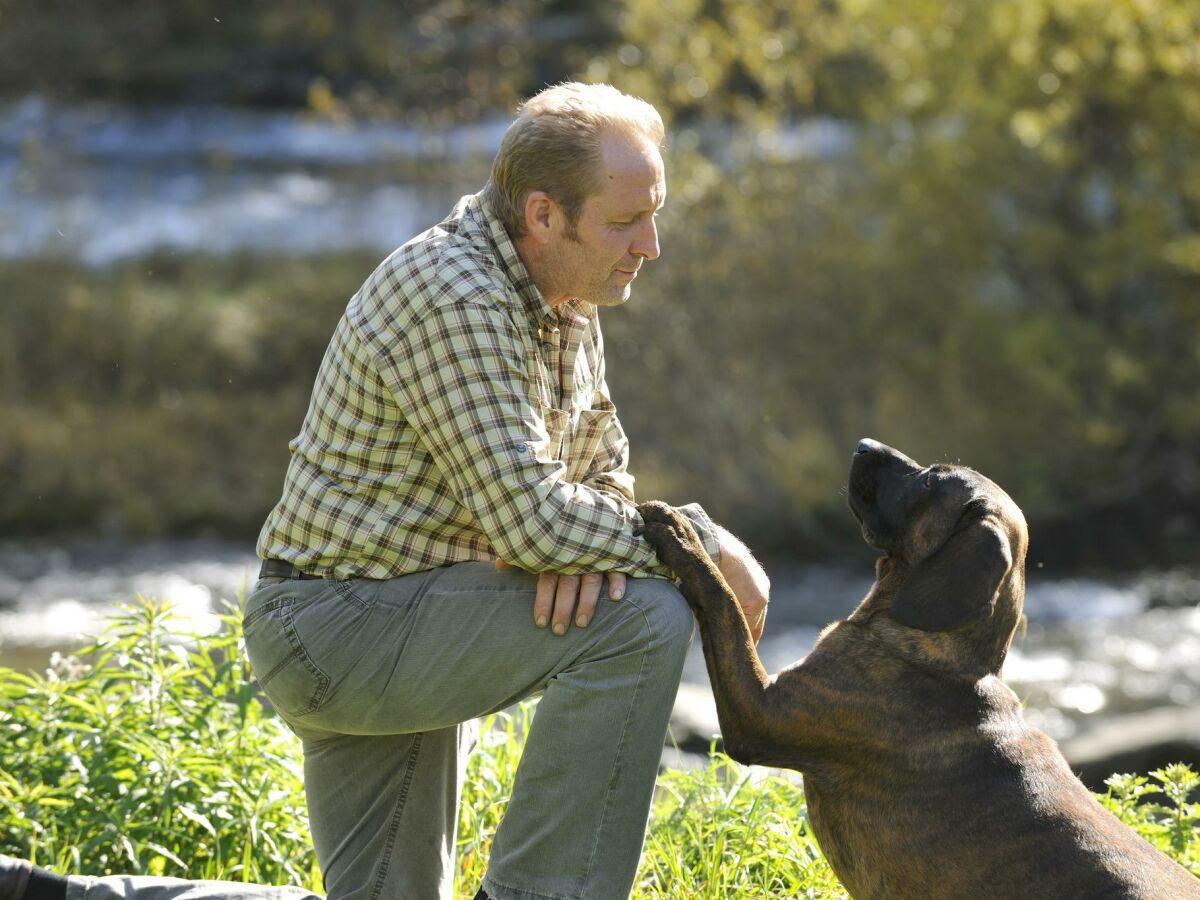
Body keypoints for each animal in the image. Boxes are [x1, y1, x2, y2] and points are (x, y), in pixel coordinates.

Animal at [638, 441, 1200, 900]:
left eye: (930, 482)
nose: (863, 443)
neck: (940, 656)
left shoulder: (757, 714)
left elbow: (723, 602)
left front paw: (683, 538)